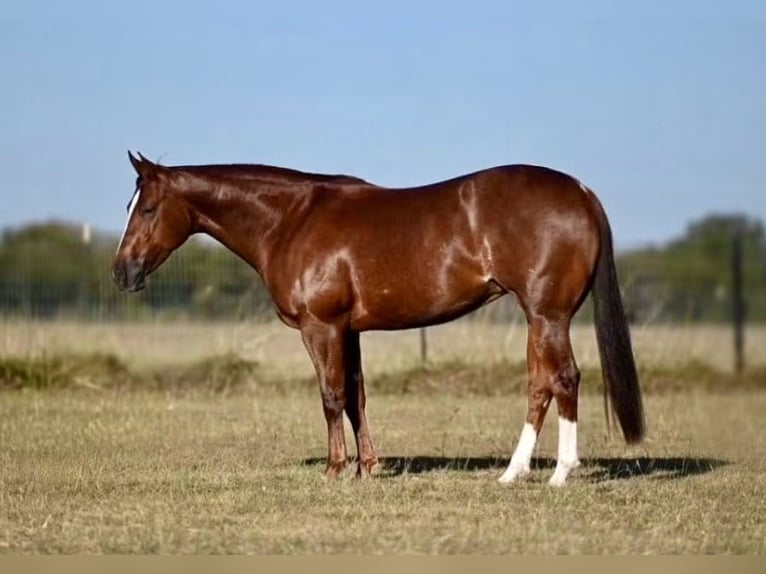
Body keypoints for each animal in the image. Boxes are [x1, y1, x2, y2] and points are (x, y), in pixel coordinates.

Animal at [112, 151, 645, 486]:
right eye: (130, 205)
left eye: (149, 208)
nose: (122, 273)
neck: (290, 219)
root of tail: (580, 191)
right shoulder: (349, 331)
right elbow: (357, 398)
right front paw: (367, 467)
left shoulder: (321, 327)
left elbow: (331, 397)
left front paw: (334, 470)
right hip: (539, 320)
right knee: (540, 386)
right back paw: (513, 473)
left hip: (548, 316)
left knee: (565, 379)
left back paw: (560, 473)